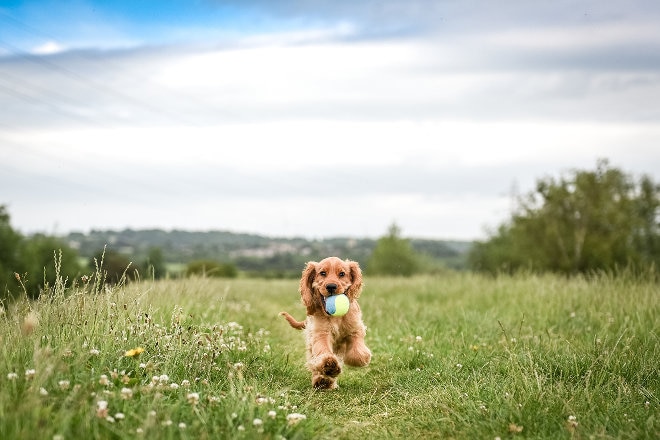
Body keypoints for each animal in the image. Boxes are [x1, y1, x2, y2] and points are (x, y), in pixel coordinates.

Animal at [278, 258, 372, 388]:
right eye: (322, 273)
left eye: (342, 274)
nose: (331, 286)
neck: (336, 317)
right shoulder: (321, 333)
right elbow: (323, 352)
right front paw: (328, 365)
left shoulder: (355, 328)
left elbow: (358, 354)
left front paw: (359, 358)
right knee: (314, 361)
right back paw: (323, 380)